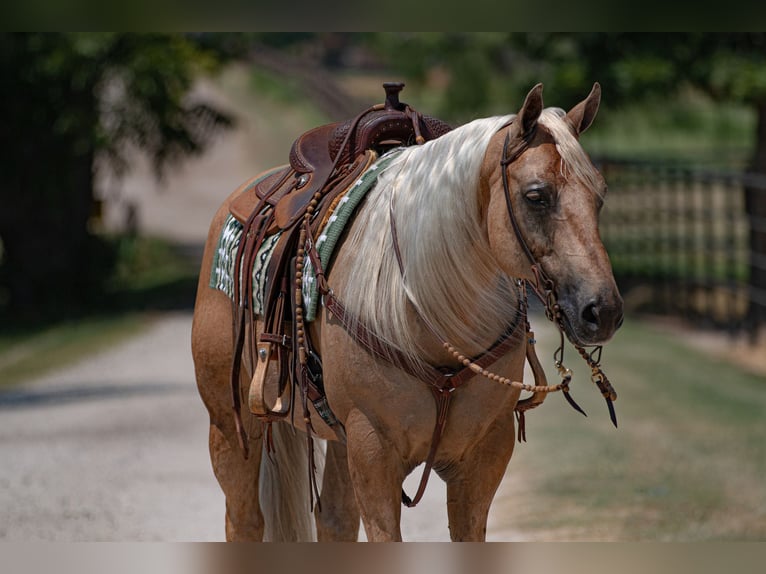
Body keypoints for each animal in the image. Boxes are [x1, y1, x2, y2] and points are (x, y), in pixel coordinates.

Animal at [190, 83, 624, 544]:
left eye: (599, 195)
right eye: (536, 196)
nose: (603, 310)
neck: (430, 317)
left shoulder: (484, 454)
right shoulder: (373, 450)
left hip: (337, 439)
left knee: (335, 520)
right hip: (231, 426)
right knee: (245, 520)